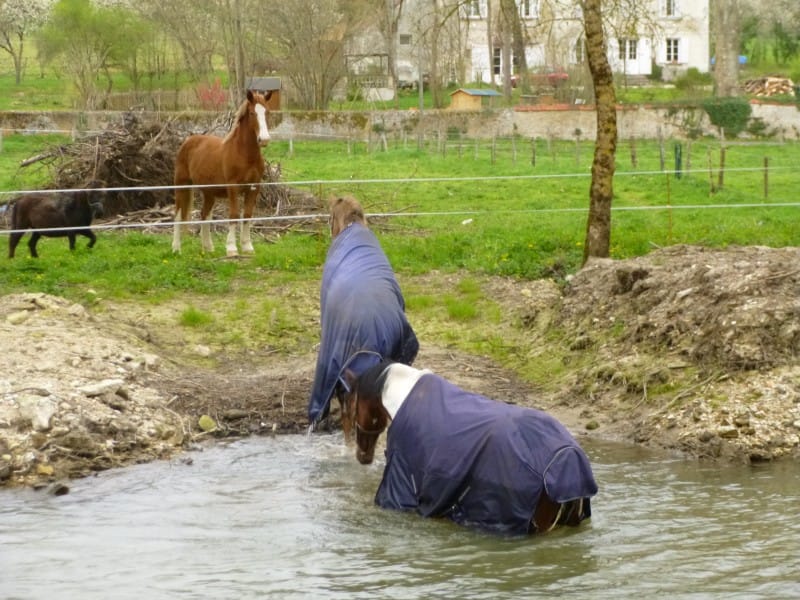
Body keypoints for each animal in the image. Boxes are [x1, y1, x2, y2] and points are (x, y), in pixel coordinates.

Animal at [170, 89, 274, 255]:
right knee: (178, 215)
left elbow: (247, 215)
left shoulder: (254, 187)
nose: (264, 139)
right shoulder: (233, 187)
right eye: (252, 113)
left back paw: (208, 247)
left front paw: (247, 246)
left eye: (267, 112)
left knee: (204, 215)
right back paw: (176, 248)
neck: (244, 154)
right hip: (182, 186)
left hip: (209, 192)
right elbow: (233, 214)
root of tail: (188, 141)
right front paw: (231, 248)